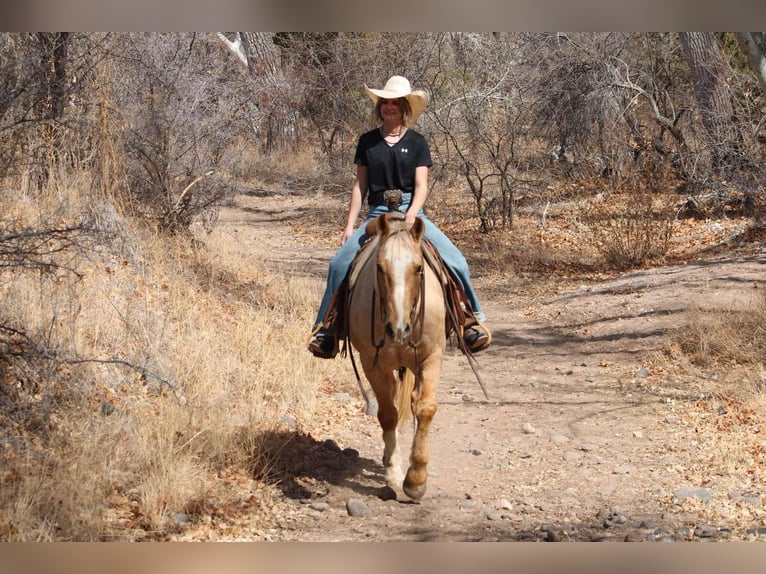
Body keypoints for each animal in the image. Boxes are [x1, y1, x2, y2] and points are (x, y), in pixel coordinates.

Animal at [346, 214, 448, 502]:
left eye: (418, 268)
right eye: (380, 268)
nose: (398, 329)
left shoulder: (432, 357)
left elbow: (425, 408)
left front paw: (416, 480)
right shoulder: (372, 364)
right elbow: (388, 414)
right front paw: (393, 472)